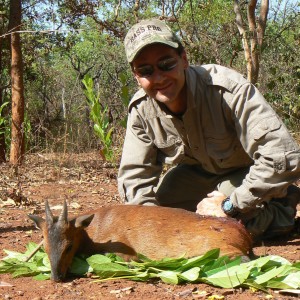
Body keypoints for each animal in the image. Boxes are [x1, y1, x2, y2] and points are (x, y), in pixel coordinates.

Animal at [29, 202, 252, 282]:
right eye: (45, 246)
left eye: (68, 246)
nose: (56, 277)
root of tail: (245, 235)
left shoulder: (124, 251)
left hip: (213, 248)